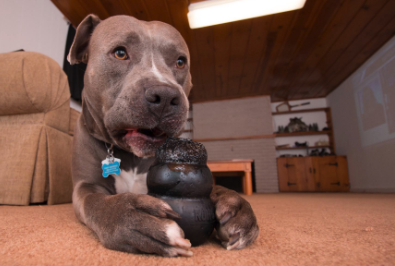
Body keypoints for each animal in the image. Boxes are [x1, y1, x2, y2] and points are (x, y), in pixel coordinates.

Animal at [68, 13, 260, 256]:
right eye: (120, 53)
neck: (130, 155)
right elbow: (96, 201)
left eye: (180, 61)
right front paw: (132, 217)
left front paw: (235, 205)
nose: (166, 96)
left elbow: (214, 187)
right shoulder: (84, 186)